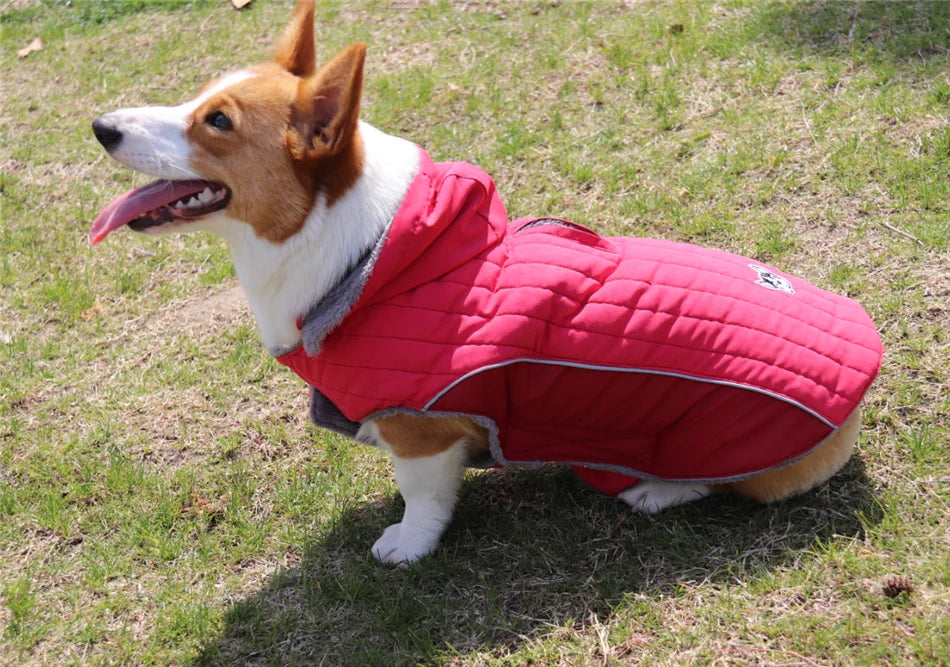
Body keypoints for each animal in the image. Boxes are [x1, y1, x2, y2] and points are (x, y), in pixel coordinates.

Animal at [93, 1, 880, 564]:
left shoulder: (420, 426)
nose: (100, 126)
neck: (358, 251)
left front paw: (407, 545)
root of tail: (862, 389)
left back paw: (655, 489)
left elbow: (420, 497)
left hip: (697, 440)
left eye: (218, 122)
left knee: (713, 480)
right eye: (198, 97)